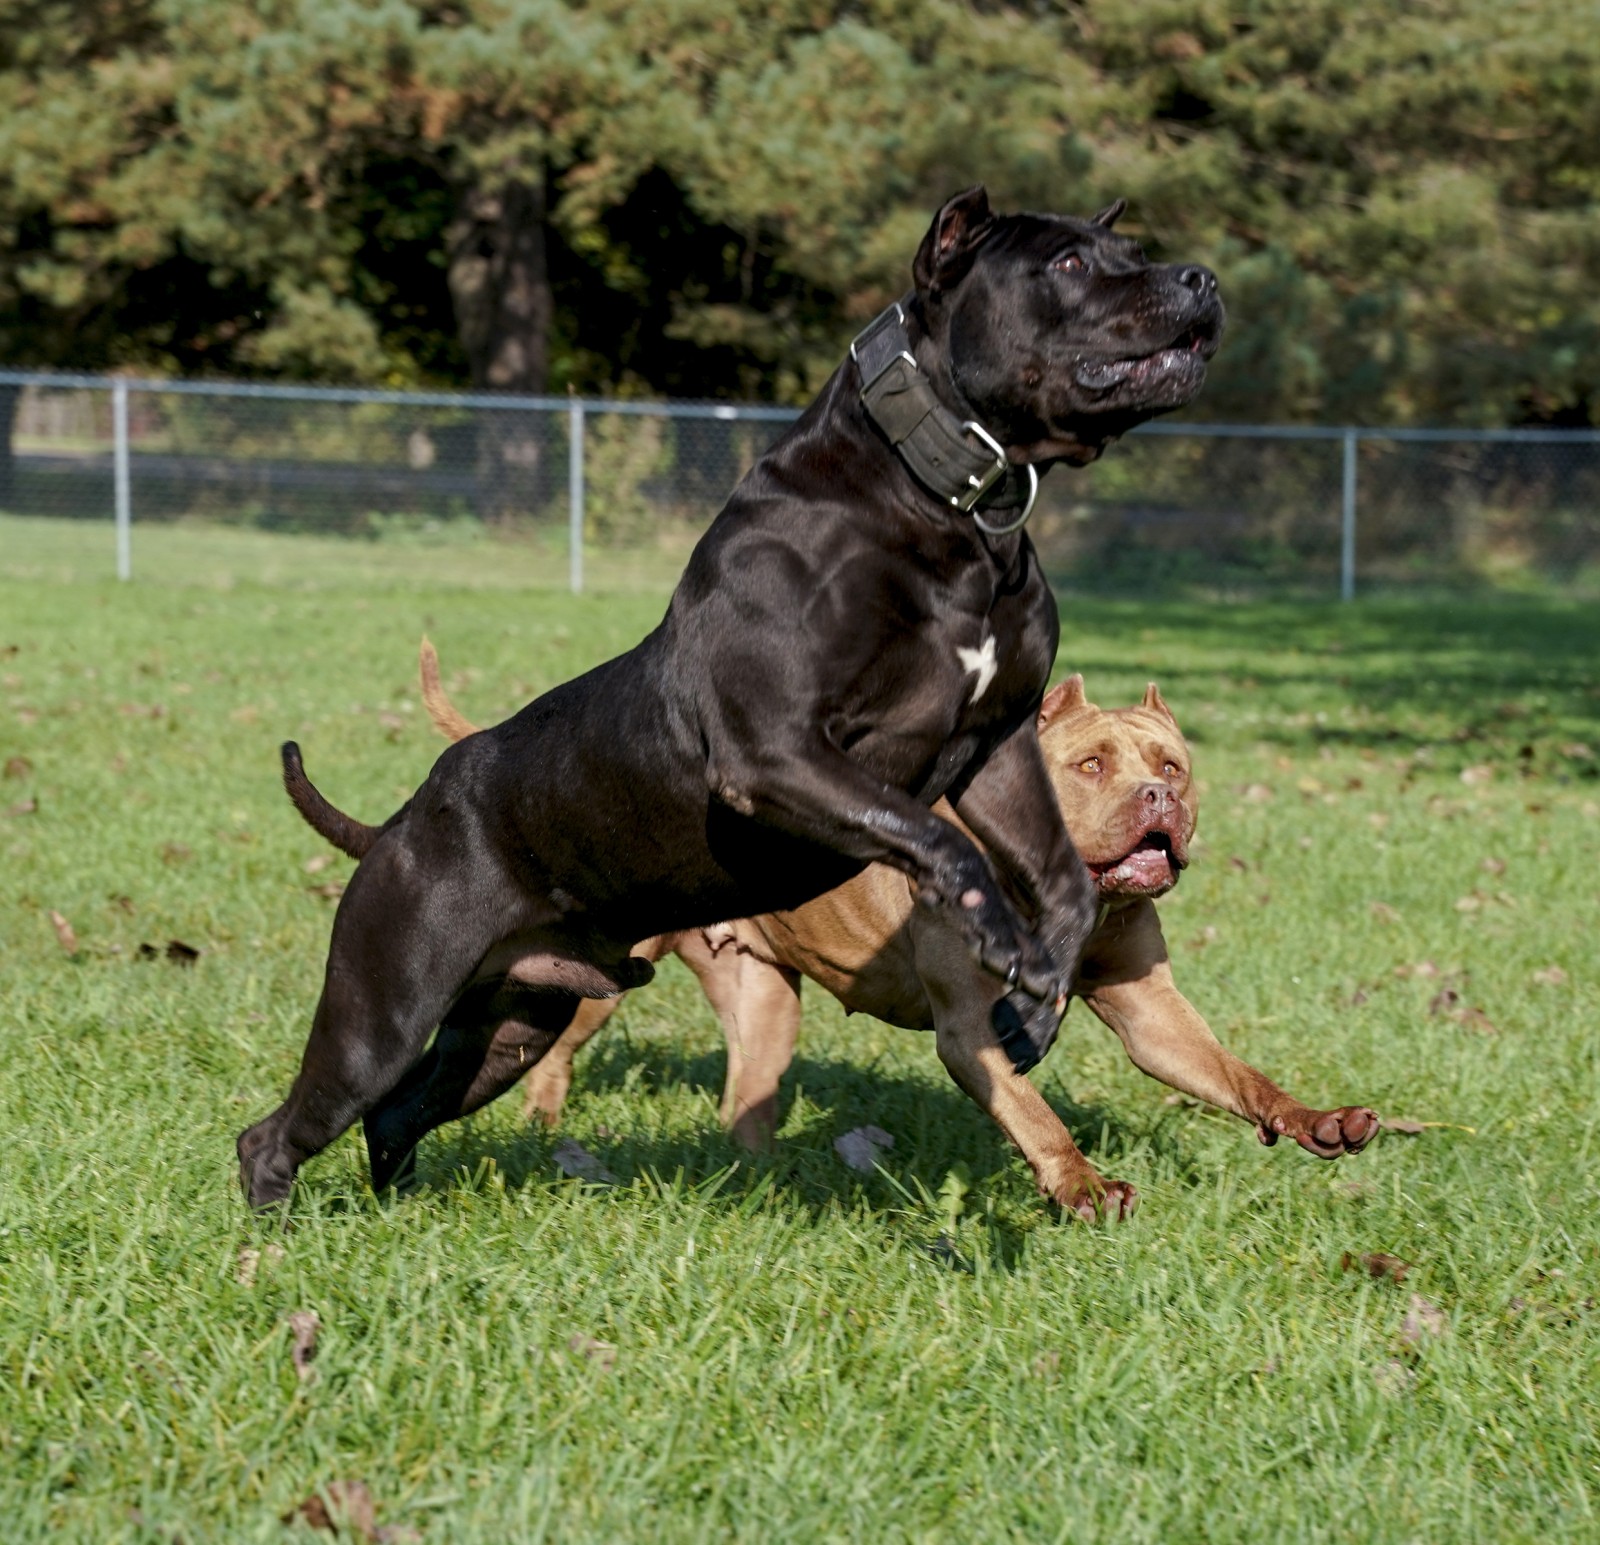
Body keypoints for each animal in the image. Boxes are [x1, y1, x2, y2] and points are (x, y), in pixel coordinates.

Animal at [236, 184, 1216, 1209]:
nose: (1202, 279)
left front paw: (1036, 996)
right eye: (1067, 263)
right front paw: (1001, 943)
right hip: (382, 1013)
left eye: (1130, 250)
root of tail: (396, 823)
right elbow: (940, 839)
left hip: (509, 1027)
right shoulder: (777, 754)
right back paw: (273, 1228)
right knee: (279, 1130)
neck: (947, 510)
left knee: (396, 1113)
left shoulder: (998, 749)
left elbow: (1059, 874)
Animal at [403, 642, 1376, 1221]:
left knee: (745, 1098)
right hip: (591, 982)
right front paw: (1081, 1183)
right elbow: (1036, 1114)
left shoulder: (1152, 1014)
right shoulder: (972, 1026)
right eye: (1093, 764)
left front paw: (1315, 1119)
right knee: (556, 1054)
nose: (1156, 801)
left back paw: (763, 1176)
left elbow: (1235, 1073)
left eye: (1172, 766)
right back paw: (544, 1125)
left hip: (766, 1006)